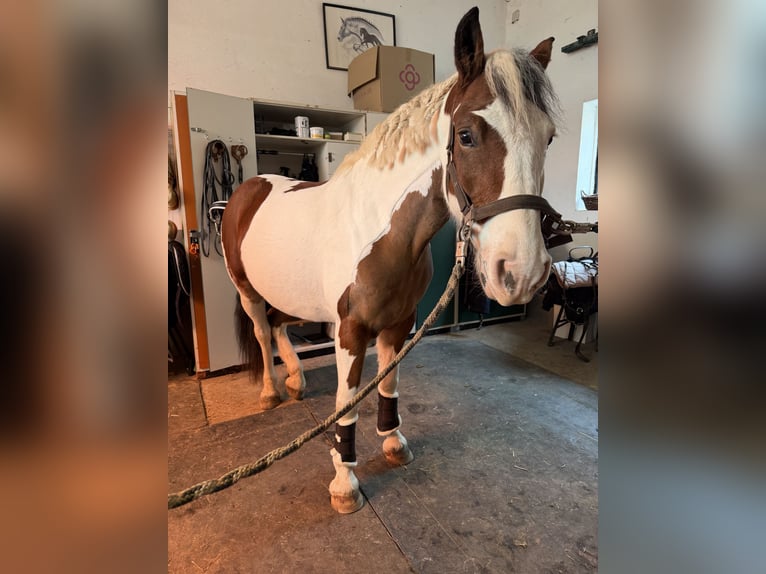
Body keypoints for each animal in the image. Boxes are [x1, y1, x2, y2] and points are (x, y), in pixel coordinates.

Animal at [221, 6, 559, 514]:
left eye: (549, 138)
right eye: (466, 135)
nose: (521, 272)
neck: (383, 231)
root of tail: (248, 187)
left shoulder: (400, 324)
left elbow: (387, 385)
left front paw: (394, 443)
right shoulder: (350, 329)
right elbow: (347, 403)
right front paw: (345, 482)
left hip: (288, 292)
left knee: (280, 325)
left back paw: (296, 381)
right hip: (248, 291)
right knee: (263, 333)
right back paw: (270, 391)